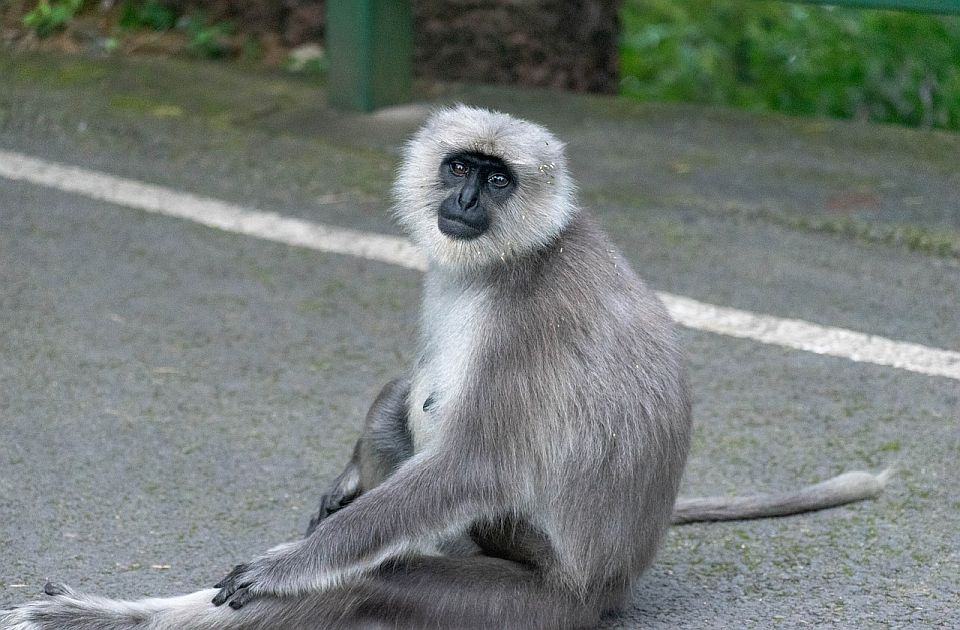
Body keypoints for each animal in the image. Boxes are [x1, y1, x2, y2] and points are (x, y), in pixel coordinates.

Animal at [1, 106, 892, 628]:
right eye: (461, 167)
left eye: (498, 179)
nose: (465, 200)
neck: (518, 256)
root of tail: (614, 584)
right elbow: (408, 397)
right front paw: (343, 481)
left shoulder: (533, 318)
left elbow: (472, 463)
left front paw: (286, 566)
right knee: (398, 414)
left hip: (532, 598)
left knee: (368, 579)